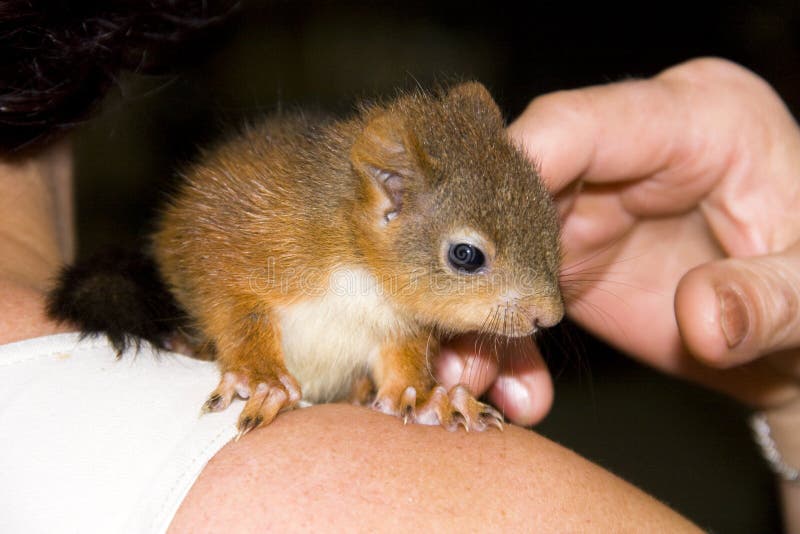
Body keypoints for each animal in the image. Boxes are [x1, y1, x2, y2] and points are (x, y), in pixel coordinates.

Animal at [48, 82, 564, 438]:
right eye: (465, 255)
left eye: (549, 215)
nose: (550, 317)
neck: (364, 273)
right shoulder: (241, 236)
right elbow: (226, 298)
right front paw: (263, 379)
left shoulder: (399, 326)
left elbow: (401, 362)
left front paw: (430, 398)